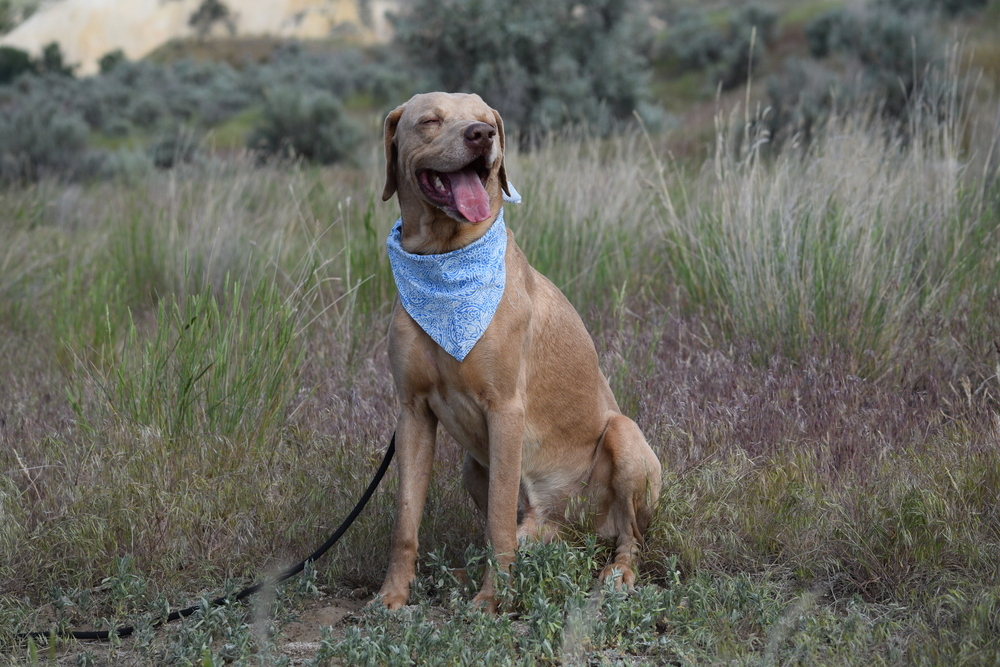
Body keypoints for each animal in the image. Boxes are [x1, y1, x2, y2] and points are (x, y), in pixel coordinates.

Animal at [376, 91, 664, 612]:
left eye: (486, 119)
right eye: (430, 120)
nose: (481, 135)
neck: (443, 263)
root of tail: (566, 524)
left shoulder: (505, 411)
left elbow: (497, 527)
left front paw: (493, 601)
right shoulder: (412, 413)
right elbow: (406, 521)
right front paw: (392, 595)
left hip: (624, 436)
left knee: (629, 537)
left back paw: (618, 574)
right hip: (474, 467)